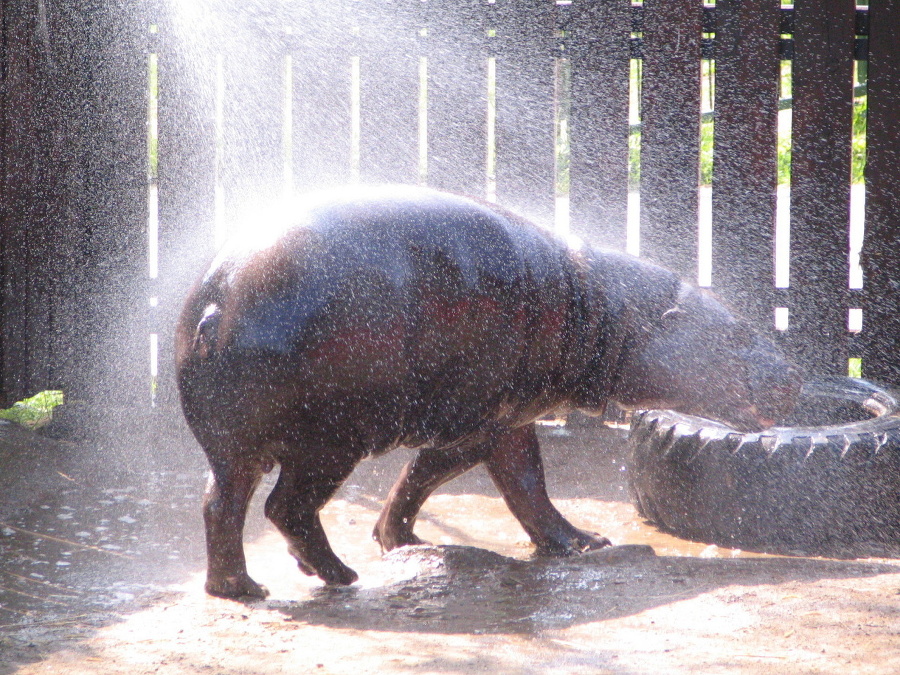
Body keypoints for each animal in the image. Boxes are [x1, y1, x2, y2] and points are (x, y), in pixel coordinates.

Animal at [176, 184, 800, 596]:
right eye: (738, 334)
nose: (796, 375)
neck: (607, 311)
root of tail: (217, 303)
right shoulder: (482, 420)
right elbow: (483, 479)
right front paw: (585, 543)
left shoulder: (510, 417)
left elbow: (489, 482)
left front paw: (400, 540)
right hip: (328, 442)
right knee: (285, 507)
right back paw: (338, 576)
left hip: (236, 446)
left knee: (220, 504)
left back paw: (239, 588)